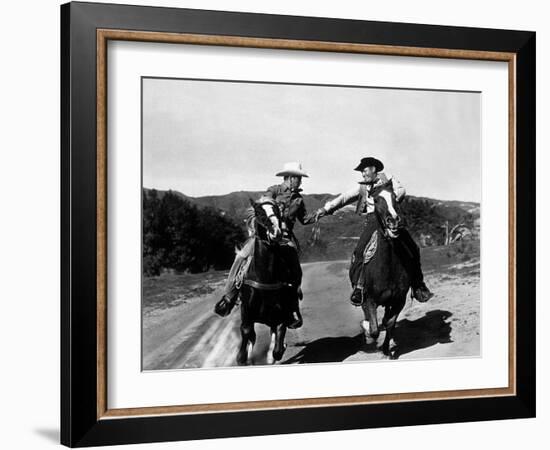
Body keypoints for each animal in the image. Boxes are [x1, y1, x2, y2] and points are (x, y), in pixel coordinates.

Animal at [236, 200, 300, 366]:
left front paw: (275, 352)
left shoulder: (282, 314)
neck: (264, 277)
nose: (277, 231)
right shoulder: (247, 311)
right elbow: (246, 331)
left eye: (277, 210)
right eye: (259, 213)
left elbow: (278, 343)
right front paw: (242, 357)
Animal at [360, 180, 412, 358]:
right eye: (375, 200)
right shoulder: (369, 299)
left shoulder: (399, 300)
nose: (394, 220)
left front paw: (386, 349)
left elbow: (389, 323)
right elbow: (374, 328)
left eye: (395, 197)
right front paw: (368, 331)